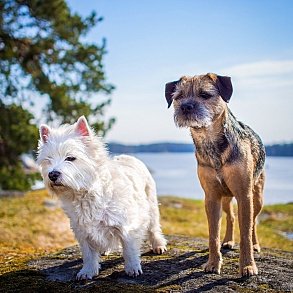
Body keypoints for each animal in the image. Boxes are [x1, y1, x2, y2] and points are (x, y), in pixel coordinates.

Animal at [36, 116, 167, 278]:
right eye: (48, 159)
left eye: (71, 158)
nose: (53, 175)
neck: (85, 194)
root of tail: (128, 156)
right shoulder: (82, 230)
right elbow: (88, 254)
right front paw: (87, 271)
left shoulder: (126, 225)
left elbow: (129, 250)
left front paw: (132, 268)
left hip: (151, 204)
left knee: (153, 227)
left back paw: (158, 245)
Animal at [164, 73, 264, 276]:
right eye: (178, 97)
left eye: (205, 94)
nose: (186, 106)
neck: (210, 141)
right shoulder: (211, 196)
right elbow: (213, 234)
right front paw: (213, 263)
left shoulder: (244, 195)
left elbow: (245, 234)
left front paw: (248, 266)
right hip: (225, 198)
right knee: (231, 217)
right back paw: (228, 241)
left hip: (257, 198)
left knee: (253, 222)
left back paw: (256, 245)